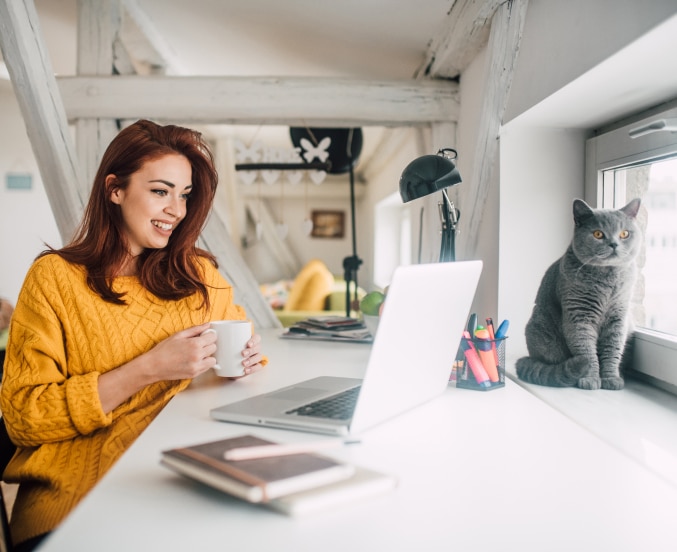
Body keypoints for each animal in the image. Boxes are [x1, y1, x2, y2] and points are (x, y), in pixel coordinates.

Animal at [516, 197, 640, 388]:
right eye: (598, 234)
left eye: (624, 234)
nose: (614, 244)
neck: (608, 280)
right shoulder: (579, 316)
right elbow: (587, 351)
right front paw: (590, 378)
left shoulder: (618, 317)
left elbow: (613, 350)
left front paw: (610, 378)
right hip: (541, 328)